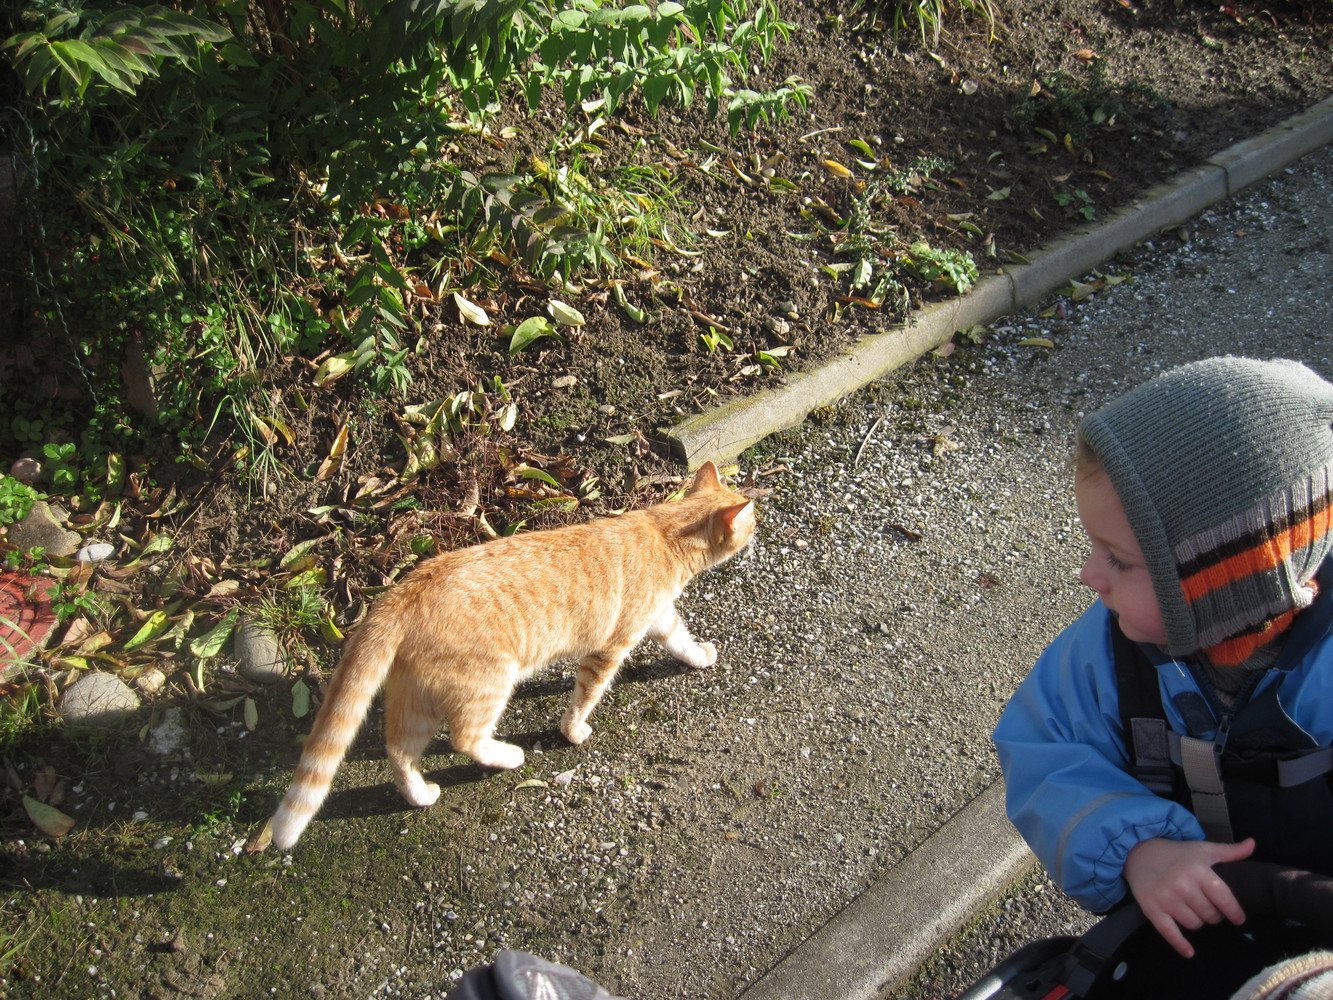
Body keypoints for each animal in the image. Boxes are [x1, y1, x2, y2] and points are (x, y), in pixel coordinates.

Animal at [268, 461, 756, 849]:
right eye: (751, 524)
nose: (760, 529)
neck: (662, 531)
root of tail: (407, 587)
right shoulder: (608, 649)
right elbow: (586, 696)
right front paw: (573, 731)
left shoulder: (660, 619)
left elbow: (681, 639)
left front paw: (698, 657)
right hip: (489, 684)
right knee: (464, 739)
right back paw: (508, 757)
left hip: (416, 700)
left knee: (399, 751)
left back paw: (420, 794)